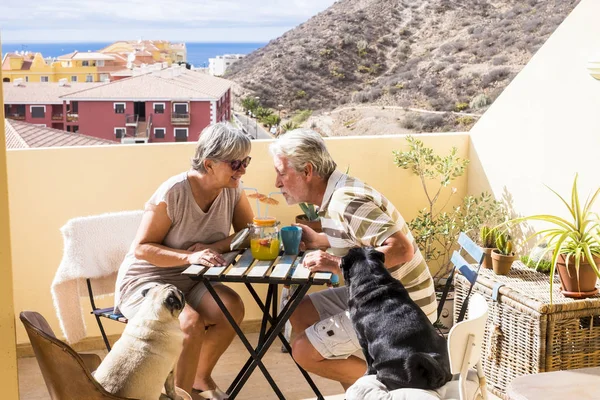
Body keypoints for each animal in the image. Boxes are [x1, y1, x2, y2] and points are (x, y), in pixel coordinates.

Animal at [342, 247, 450, 390]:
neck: (372, 281)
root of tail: (436, 372)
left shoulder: (362, 340)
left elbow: (368, 363)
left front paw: (367, 373)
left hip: (385, 372)